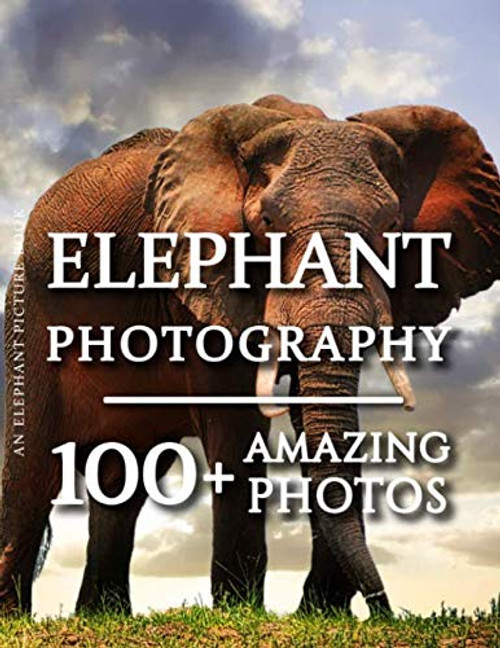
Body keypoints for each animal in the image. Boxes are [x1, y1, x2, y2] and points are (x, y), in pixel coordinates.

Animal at [1, 93, 499, 617]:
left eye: (393, 228)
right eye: (267, 224)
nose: (383, 613)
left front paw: (318, 612)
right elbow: (236, 418)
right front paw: (242, 608)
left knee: (124, 480)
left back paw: (103, 615)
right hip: (28, 313)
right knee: (34, 474)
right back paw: (18, 616)